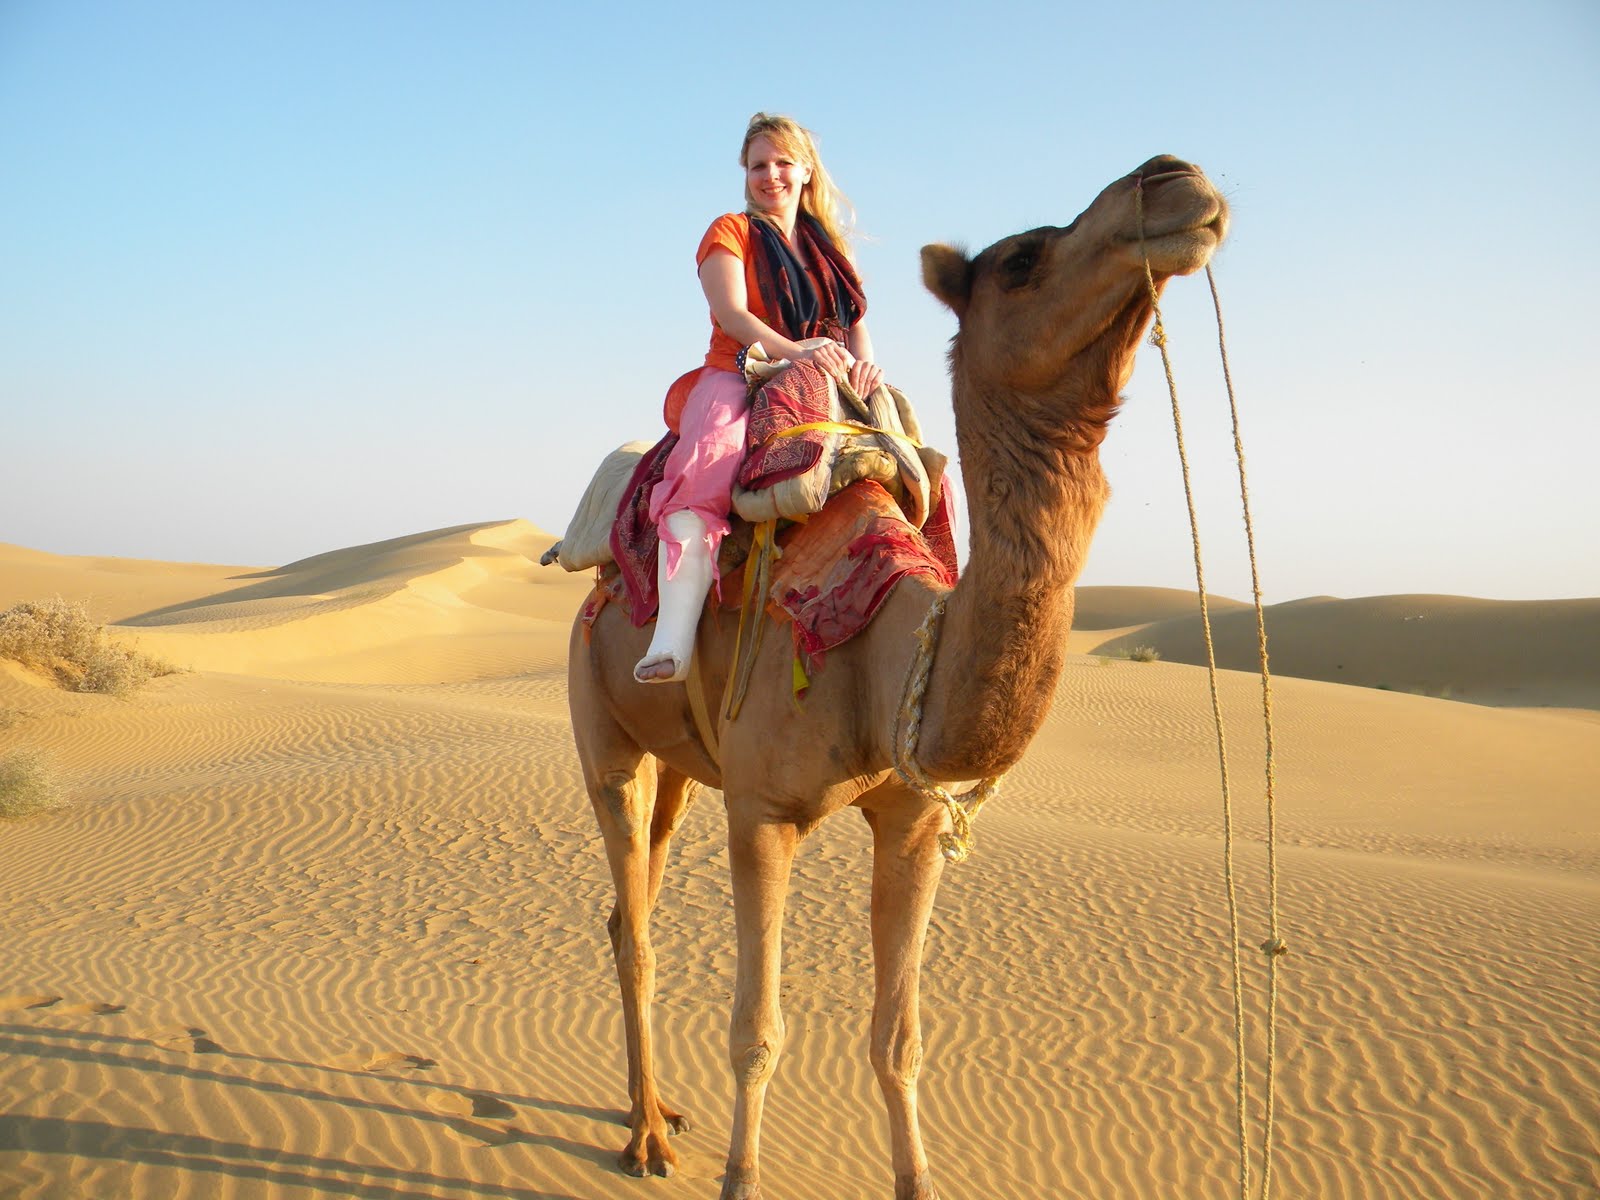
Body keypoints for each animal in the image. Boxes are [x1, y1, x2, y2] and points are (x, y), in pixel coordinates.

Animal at [566, 154, 1228, 1200]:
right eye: (1023, 259)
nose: (1177, 177)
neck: (879, 652)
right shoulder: (762, 810)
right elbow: (757, 1033)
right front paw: (740, 1178)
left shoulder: (913, 822)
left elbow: (899, 1039)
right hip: (601, 729)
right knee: (632, 920)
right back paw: (646, 1141)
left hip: (678, 764)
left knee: (631, 909)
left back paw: (657, 1109)